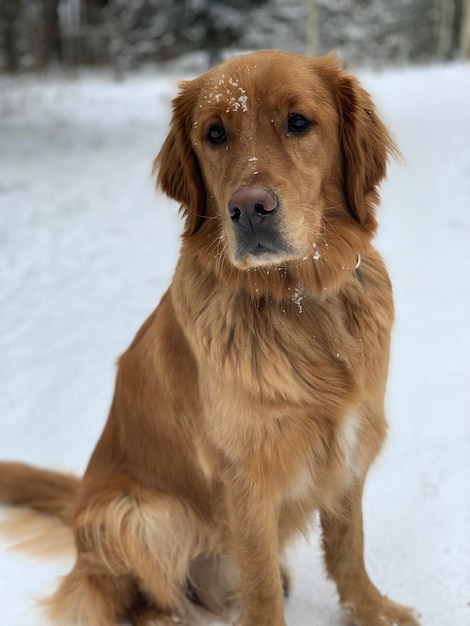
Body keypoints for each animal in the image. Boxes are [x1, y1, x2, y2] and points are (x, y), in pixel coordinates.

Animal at [0, 50, 418, 624]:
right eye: (215, 133)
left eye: (299, 122)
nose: (249, 209)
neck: (296, 302)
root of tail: (83, 496)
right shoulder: (244, 475)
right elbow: (259, 583)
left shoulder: (351, 447)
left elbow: (348, 548)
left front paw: (374, 611)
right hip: (139, 513)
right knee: (125, 594)